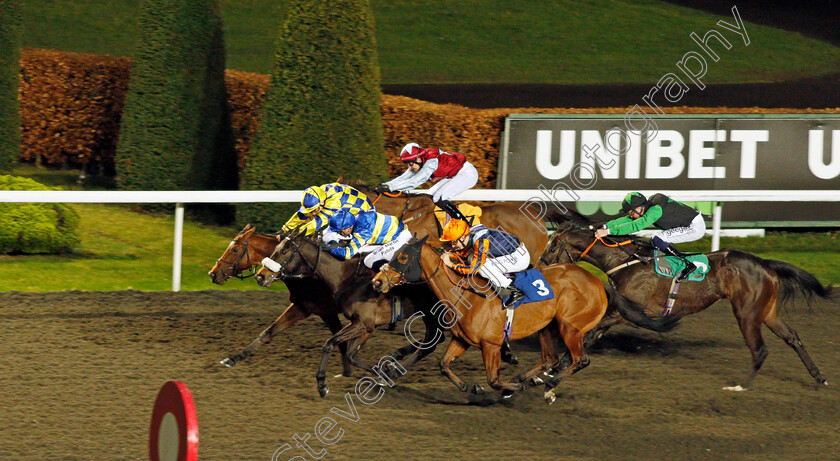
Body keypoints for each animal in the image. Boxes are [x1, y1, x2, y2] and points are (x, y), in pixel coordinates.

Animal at [374, 235, 612, 404]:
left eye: (403, 257)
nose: (377, 281)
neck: (465, 294)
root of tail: (598, 281)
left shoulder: (491, 344)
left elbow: (494, 380)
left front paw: (509, 388)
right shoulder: (462, 340)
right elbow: (444, 365)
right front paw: (473, 388)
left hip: (570, 326)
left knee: (580, 360)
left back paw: (548, 385)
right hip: (547, 326)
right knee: (549, 359)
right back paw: (528, 379)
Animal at [540, 219, 836, 388]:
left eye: (553, 246)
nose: (541, 267)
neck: (626, 261)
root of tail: (765, 264)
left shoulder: (631, 310)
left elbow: (592, 330)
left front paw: (555, 369)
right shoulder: (619, 310)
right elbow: (593, 333)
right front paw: (557, 366)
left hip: (747, 313)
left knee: (760, 349)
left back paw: (740, 386)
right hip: (768, 311)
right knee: (793, 338)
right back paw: (819, 377)